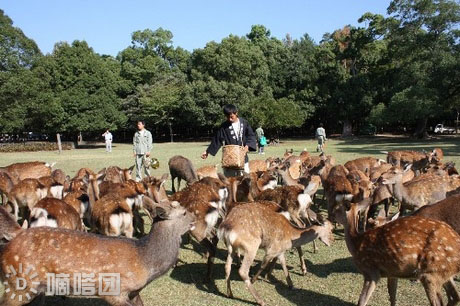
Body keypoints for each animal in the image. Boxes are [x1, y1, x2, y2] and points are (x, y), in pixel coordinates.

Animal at [332, 201, 460, 306]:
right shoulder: (392, 272)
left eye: (337, 209)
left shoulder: (371, 271)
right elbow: (392, 294)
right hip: (442, 272)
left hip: (430, 273)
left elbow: (362, 301)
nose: (331, 217)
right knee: (454, 296)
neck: (356, 243)